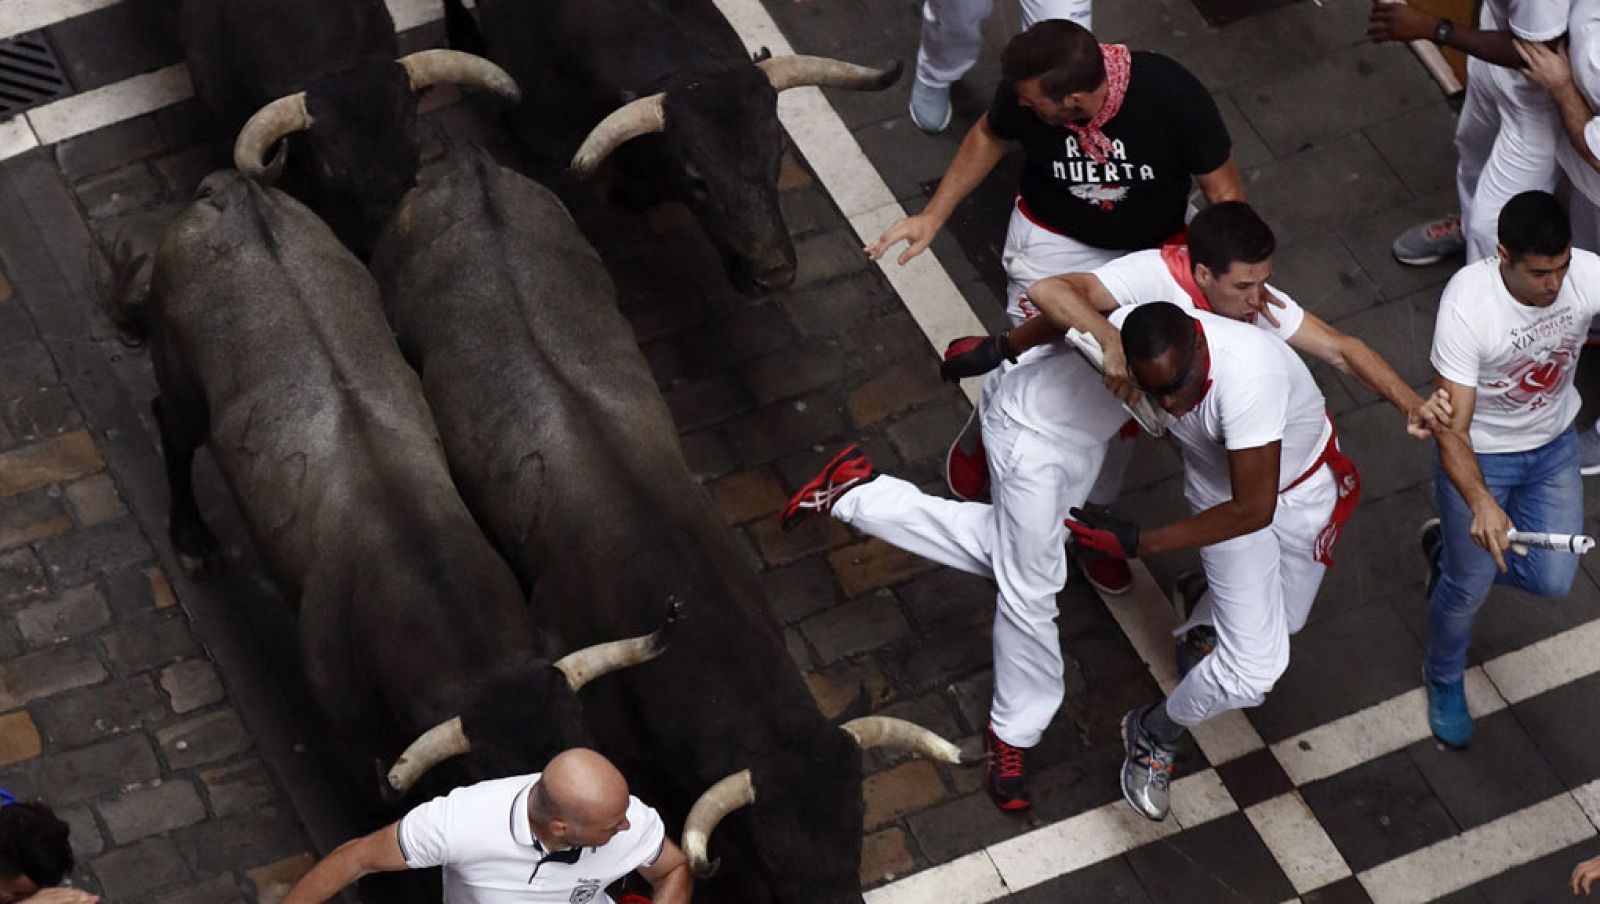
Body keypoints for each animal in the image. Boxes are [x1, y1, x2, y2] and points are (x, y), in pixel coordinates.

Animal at [106, 172, 665, 819]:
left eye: (586, 748)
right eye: (489, 784)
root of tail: (234, 190)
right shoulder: (352, 733)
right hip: (181, 384)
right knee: (171, 430)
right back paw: (193, 539)